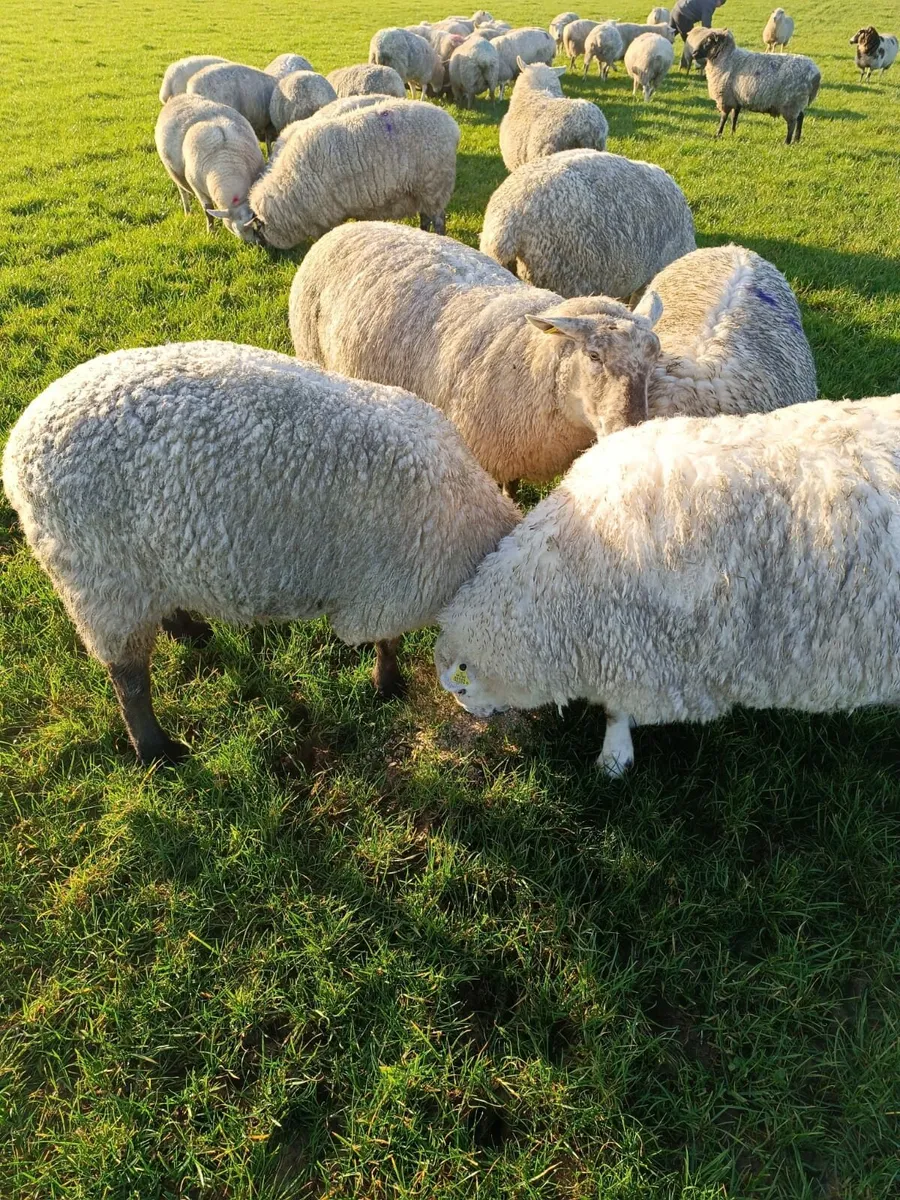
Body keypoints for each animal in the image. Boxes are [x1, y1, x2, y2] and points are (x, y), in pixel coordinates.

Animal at [3, 342, 518, 764]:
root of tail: (17, 451)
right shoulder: (387, 594)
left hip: (145, 565)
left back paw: (190, 630)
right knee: (127, 678)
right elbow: (387, 643)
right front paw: (387, 685)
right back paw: (156, 750)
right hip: (101, 581)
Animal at [154, 94, 264, 242]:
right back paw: (187, 212)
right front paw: (211, 232)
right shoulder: (198, 188)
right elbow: (208, 211)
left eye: (256, 224)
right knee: (183, 192)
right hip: (174, 173)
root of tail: (179, 96)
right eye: (236, 229)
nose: (256, 244)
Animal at [247, 100, 459, 247]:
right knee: (425, 216)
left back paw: (439, 236)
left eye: (258, 230)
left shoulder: (326, 214)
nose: (261, 250)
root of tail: (451, 125)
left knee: (438, 220)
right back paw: (423, 233)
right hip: (421, 191)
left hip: (435, 185)